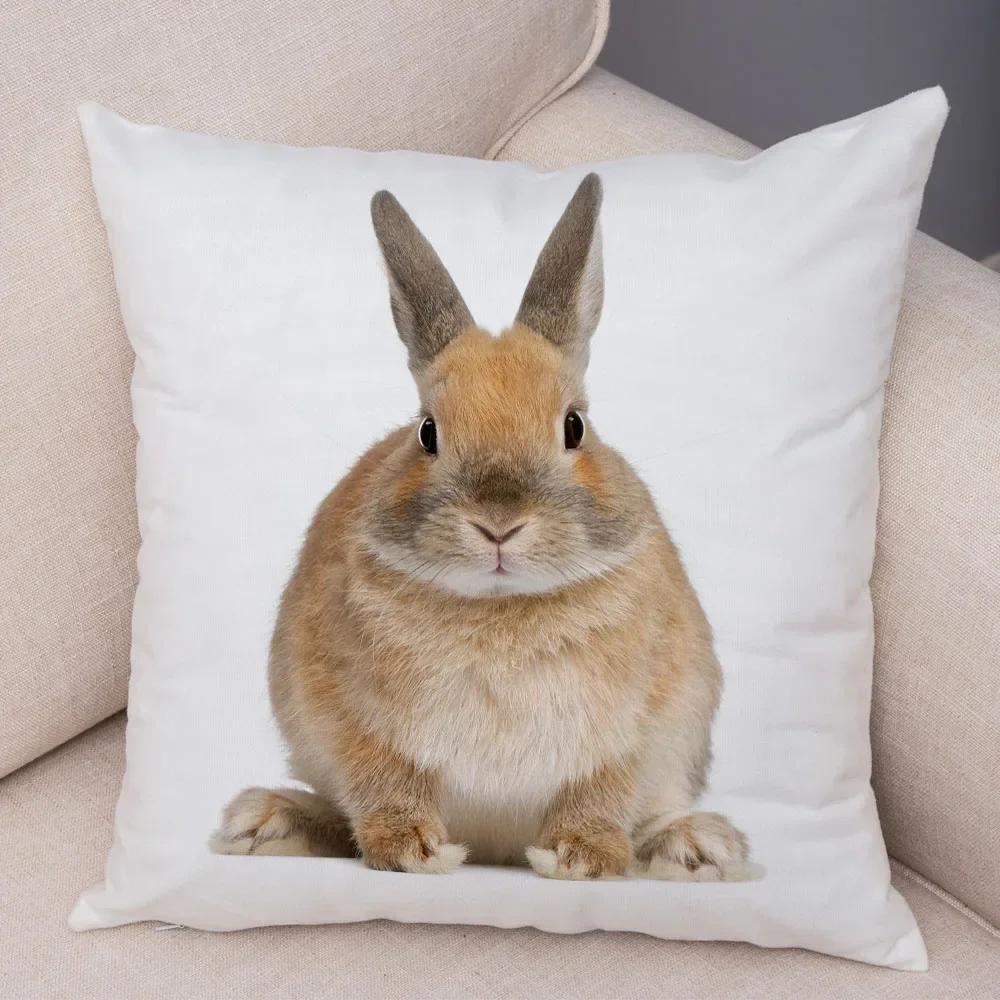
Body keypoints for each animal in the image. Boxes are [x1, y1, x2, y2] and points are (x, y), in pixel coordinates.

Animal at [211, 174, 754, 881]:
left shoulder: (627, 734)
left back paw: (699, 845)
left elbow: (600, 796)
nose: (499, 525)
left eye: (574, 427)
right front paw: (412, 852)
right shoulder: (356, 724)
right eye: (427, 432)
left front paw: (582, 859)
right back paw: (265, 821)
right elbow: (385, 787)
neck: (500, 608)